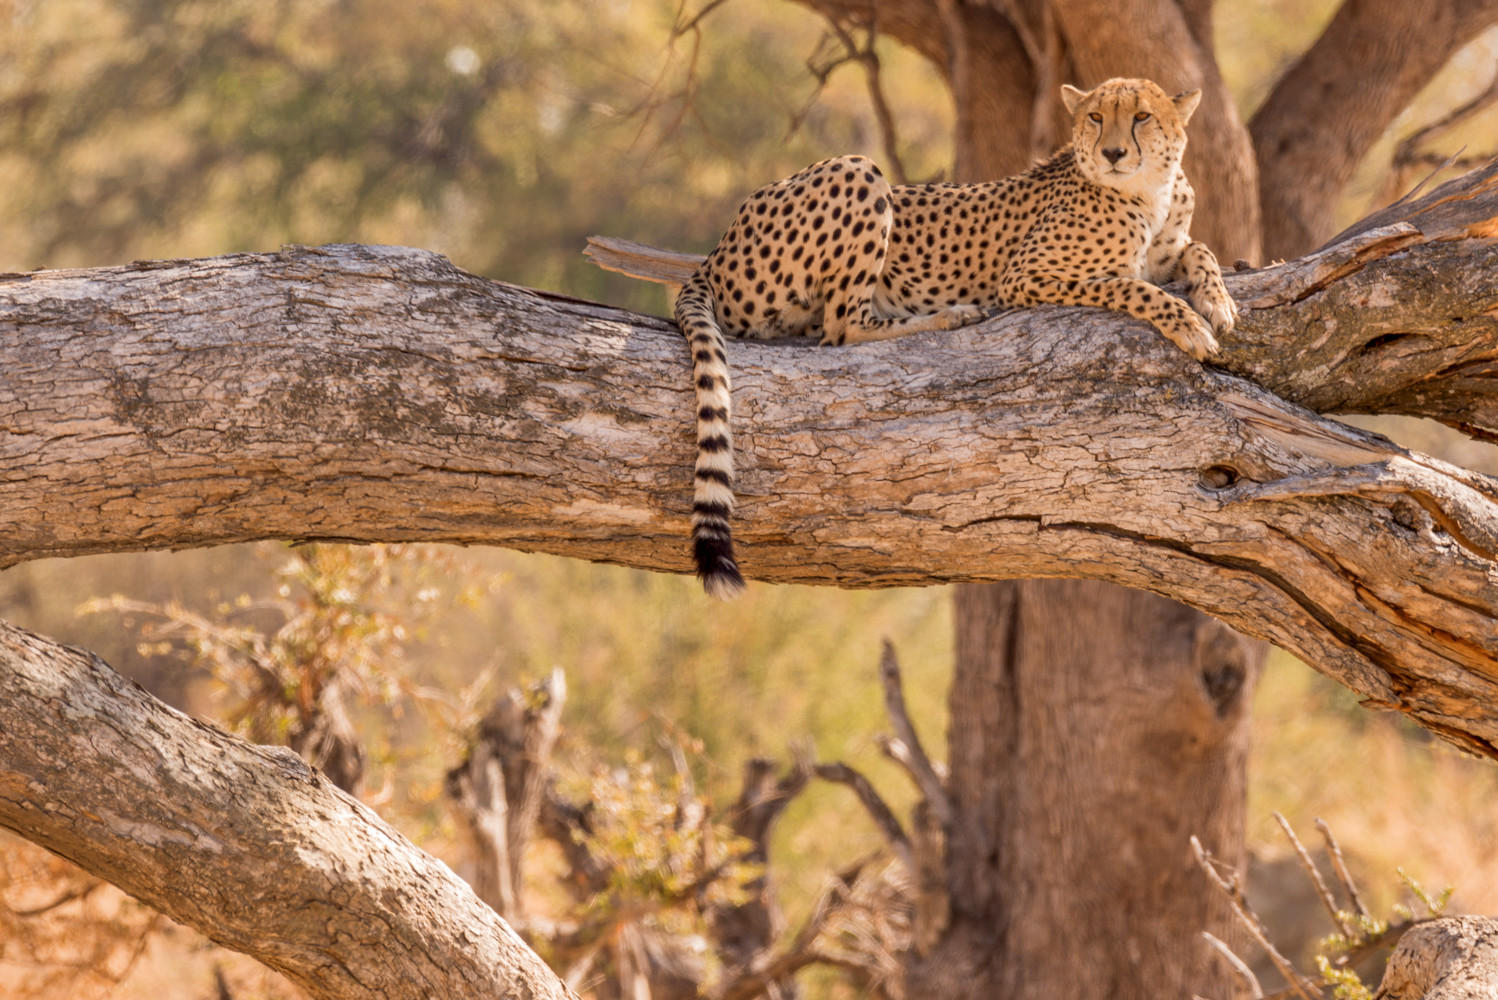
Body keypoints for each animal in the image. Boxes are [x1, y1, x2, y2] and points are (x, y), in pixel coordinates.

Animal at [680, 78, 1240, 598]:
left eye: (1142, 116)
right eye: (1096, 117)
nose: (1114, 153)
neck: (1151, 190)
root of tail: (715, 249)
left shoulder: (1166, 252)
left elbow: (1200, 249)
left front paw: (1218, 302)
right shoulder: (1026, 277)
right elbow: (1131, 285)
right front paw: (1189, 324)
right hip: (857, 170)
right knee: (842, 327)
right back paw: (951, 315)